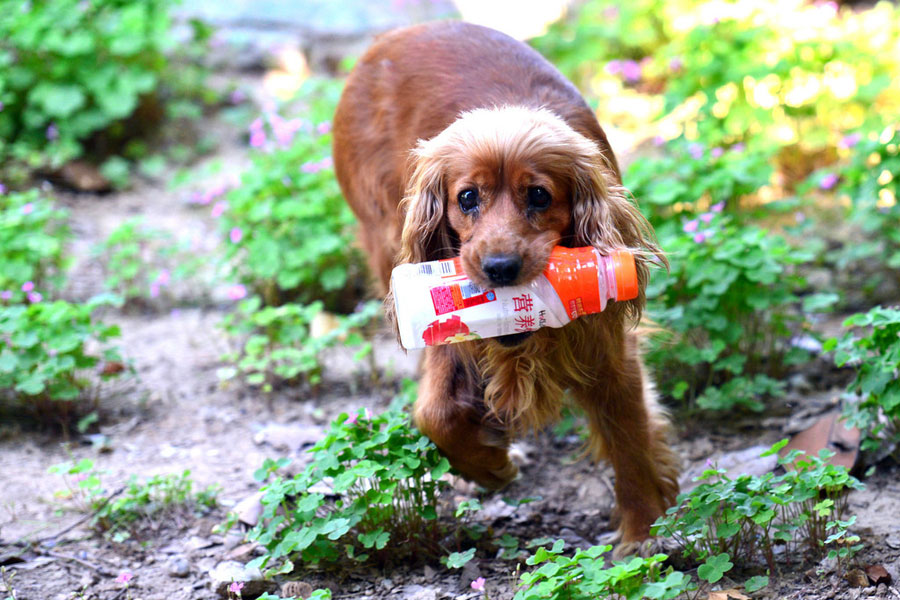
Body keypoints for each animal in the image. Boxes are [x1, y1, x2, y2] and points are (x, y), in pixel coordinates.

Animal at [334, 21, 680, 556]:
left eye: (538, 195)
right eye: (466, 197)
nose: (499, 268)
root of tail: (394, 34)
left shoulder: (606, 344)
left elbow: (629, 437)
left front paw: (643, 530)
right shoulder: (449, 329)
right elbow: (434, 414)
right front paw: (491, 466)